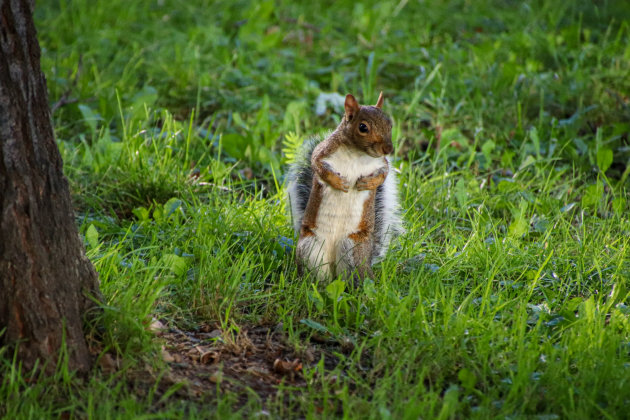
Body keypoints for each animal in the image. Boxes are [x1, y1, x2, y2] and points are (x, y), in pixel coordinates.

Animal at [288, 92, 402, 282]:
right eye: (363, 127)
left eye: (389, 124)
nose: (388, 149)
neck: (357, 154)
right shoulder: (323, 151)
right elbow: (317, 165)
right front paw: (337, 182)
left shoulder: (382, 163)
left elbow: (383, 175)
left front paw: (368, 183)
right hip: (310, 247)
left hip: (352, 248)